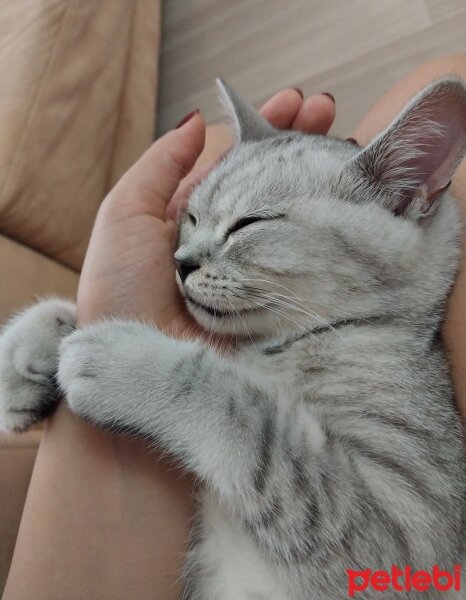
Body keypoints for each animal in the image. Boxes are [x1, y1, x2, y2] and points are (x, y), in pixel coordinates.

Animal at [0, 77, 466, 596]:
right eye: (192, 217)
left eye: (249, 223)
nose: (181, 262)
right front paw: (26, 355)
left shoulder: (403, 532)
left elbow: (249, 415)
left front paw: (123, 360)